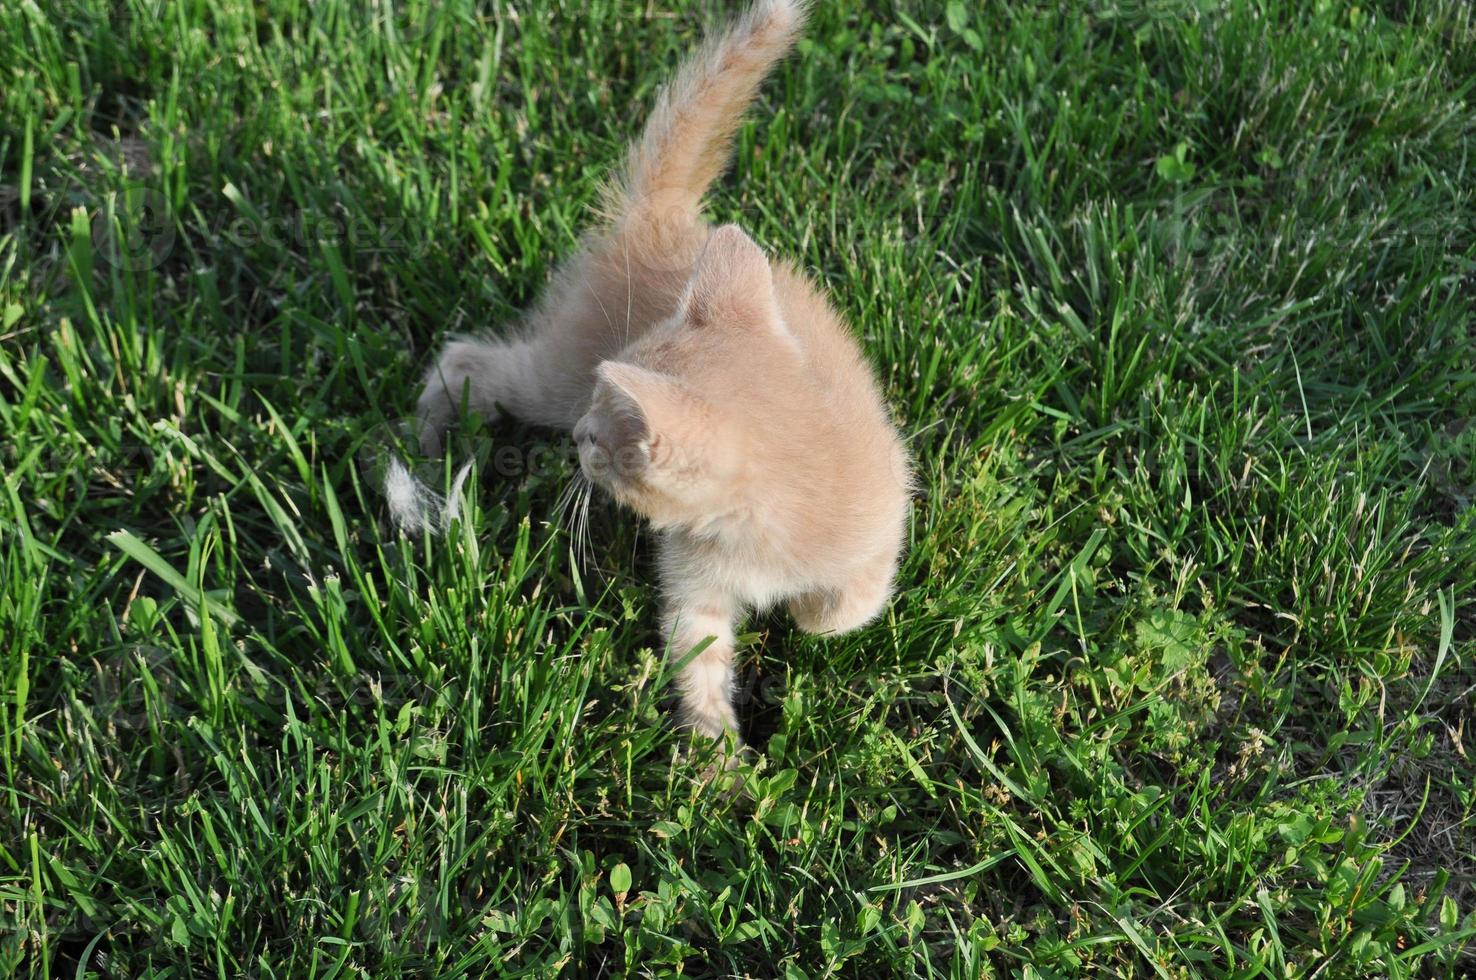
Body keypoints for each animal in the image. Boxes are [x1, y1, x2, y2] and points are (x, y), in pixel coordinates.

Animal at [416, 1, 909, 749]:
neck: (752, 537)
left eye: (605, 440)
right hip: (554, 374)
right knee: (462, 360)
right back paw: (427, 438)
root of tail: (663, 219)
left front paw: (806, 616)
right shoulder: (691, 581)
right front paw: (715, 755)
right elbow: (697, 655)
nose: (580, 436)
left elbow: (853, 604)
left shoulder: (886, 514)